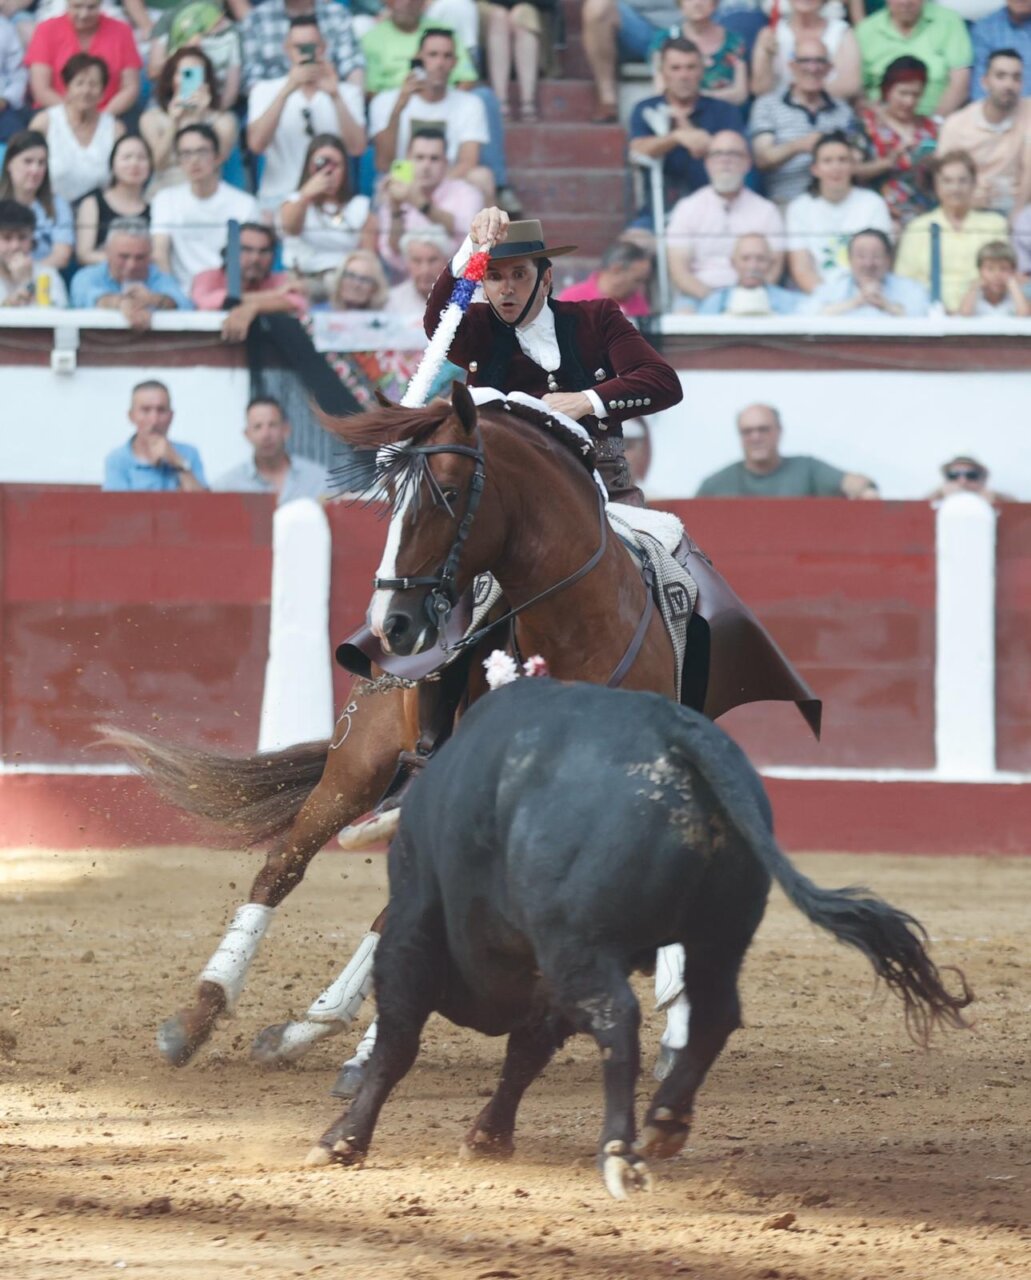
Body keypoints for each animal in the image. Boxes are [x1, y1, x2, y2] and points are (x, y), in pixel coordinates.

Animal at [307, 679, 971, 1198]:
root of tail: (674, 731)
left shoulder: (418, 928)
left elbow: (400, 1041)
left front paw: (341, 1141)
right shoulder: (548, 974)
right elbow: (525, 1053)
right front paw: (488, 1136)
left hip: (583, 946)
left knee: (618, 1021)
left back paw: (621, 1153)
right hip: (716, 938)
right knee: (715, 1014)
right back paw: (665, 1122)